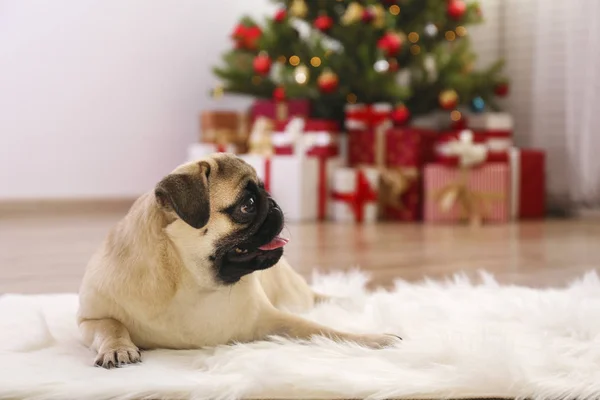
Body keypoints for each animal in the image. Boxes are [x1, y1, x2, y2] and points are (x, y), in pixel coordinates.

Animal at [77, 153, 400, 368]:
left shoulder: (275, 320)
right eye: (249, 205)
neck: (191, 280)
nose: (275, 205)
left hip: (293, 295)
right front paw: (118, 348)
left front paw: (373, 339)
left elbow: (323, 330)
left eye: (265, 192)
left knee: (315, 300)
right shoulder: (88, 320)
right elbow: (111, 326)